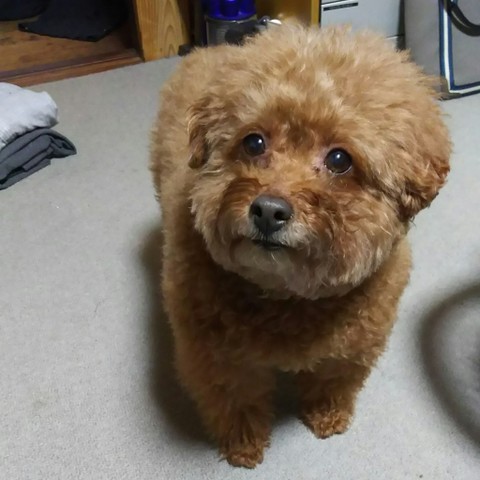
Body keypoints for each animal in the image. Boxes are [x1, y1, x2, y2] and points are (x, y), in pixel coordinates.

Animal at [150, 23, 450, 468]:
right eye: (253, 143)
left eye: (340, 159)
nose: (268, 210)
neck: (288, 298)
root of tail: (208, 49)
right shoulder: (218, 357)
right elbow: (235, 401)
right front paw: (244, 445)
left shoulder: (353, 346)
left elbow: (333, 380)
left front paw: (327, 416)